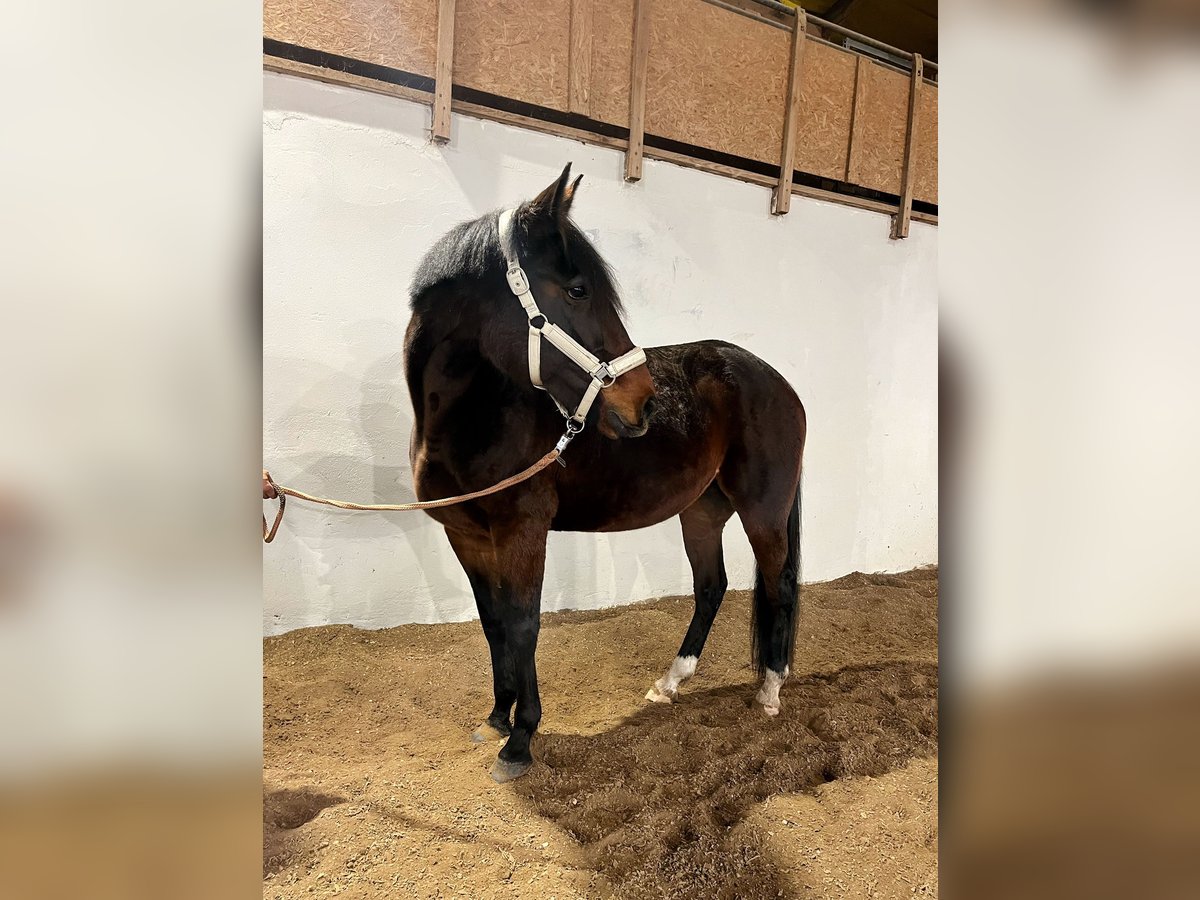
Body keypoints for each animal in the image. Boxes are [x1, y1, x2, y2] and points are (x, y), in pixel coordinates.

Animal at [405, 163, 807, 782]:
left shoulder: (522, 531)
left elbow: (523, 625)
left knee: (778, 584)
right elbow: (493, 622)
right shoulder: (466, 535)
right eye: (577, 290)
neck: (474, 416)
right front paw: (496, 718)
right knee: (711, 586)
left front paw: (519, 740)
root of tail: (779, 383)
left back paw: (769, 691)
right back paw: (670, 683)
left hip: (763, 512)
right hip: (702, 511)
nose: (643, 402)